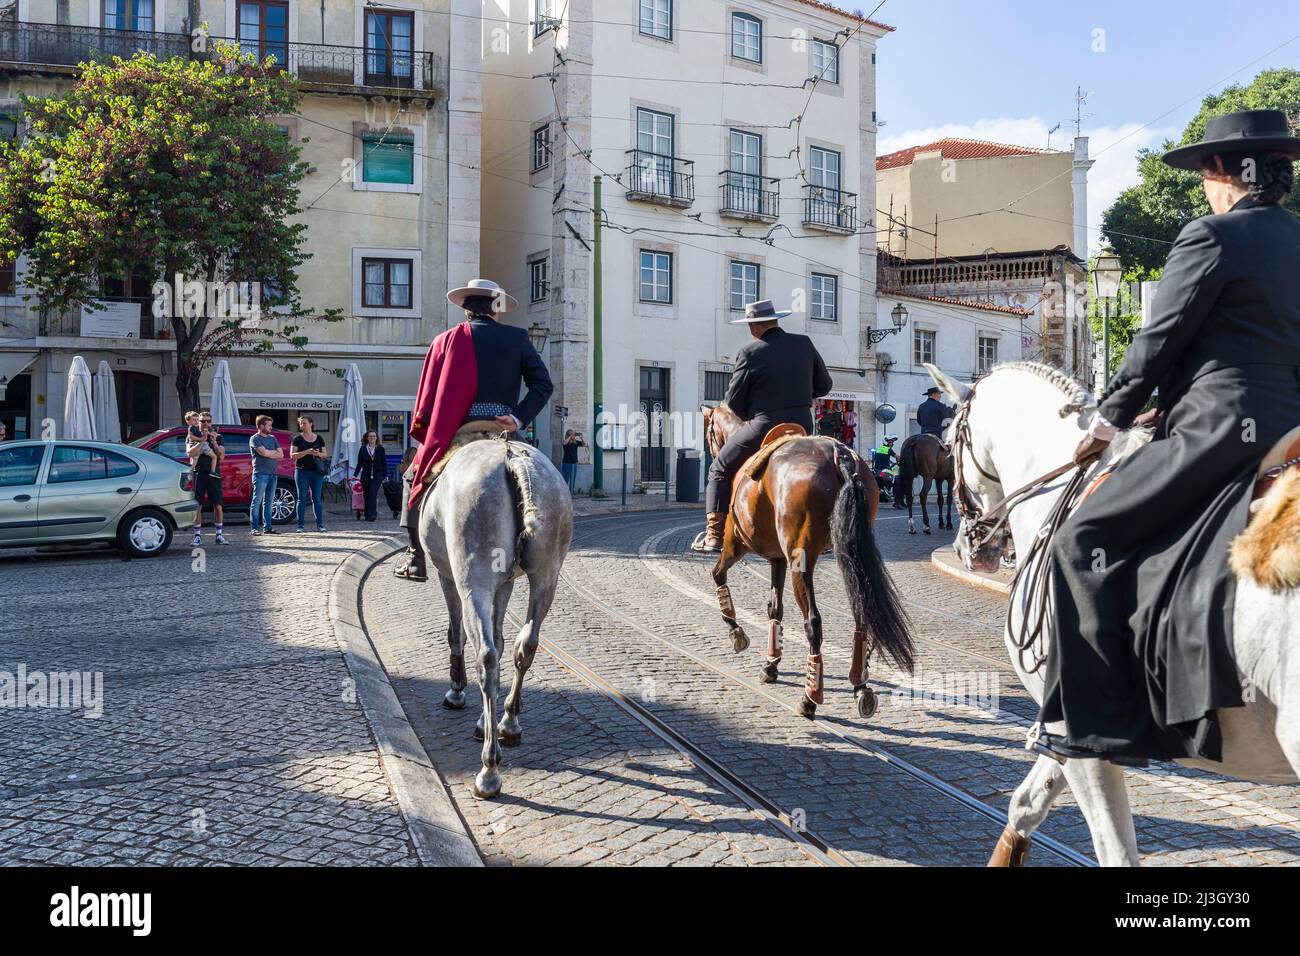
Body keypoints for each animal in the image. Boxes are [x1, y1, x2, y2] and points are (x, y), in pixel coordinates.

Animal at [418, 434, 572, 801]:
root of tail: (512, 456)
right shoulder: (505, 584)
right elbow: (503, 642)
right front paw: (485, 720)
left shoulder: (449, 578)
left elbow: (456, 635)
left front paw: (456, 692)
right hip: (547, 577)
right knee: (525, 645)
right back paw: (509, 723)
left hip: (473, 582)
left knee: (486, 659)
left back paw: (489, 769)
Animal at [702, 403, 915, 717]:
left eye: (708, 433)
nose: (711, 453)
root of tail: (840, 456)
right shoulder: (777, 558)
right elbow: (774, 609)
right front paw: (771, 664)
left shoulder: (734, 547)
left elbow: (718, 576)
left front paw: (737, 633)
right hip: (849, 556)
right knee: (862, 615)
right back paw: (860, 685)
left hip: (799, 562)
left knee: (813, 622)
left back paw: (810, 697)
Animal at [925, 364, 1300, 868]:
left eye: (948, 443)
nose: (970, 549)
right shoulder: (1068, 729)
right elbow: (1027, 803)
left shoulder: (1079, 724)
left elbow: (1114, 848)